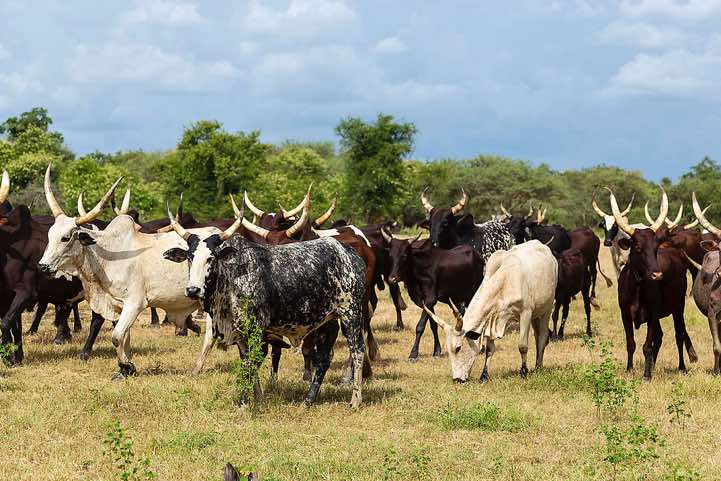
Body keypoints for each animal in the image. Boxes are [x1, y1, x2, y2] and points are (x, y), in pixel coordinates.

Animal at [39, 165, 227, 379]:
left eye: (66, 237)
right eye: (49, 235)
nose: (42, 266)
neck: (105, 256)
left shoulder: (134, 303)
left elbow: (116, 336)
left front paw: (127, 366)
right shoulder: (118, 305)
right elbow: (124, 337)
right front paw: (124, 369)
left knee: (211, 333)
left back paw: (197, 368)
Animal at [162, 206, 368, 408]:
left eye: (211, 258)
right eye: (190, 257)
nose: (193, 290)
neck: (231, 276)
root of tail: (349, 253)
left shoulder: (256, 329)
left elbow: (251, 364)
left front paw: (243, 402)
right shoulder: (240, 334)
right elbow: (248, 362)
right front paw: (258, 399)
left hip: (351, 314)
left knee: (357, 349)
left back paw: (355, 400)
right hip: (328, 321)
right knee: (325, 358)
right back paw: (309, 400)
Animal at [383, 229, 484, 360]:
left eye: (404, 256)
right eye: (390, 255)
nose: (392, 279)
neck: (419, 268)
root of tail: (477, 255)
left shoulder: (430, 299)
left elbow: (420, 326)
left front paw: (413, 354)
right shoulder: (426, 302)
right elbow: (433, 325)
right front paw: (437, 351)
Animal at [423, 240, 557, 382]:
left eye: (458, 348)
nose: (456, 379)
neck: (505, 281)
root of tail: (545, 248)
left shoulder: (525, 313)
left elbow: (522, 346)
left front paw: (523, 372)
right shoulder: (491, 320)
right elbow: (489, 349)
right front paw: (484, 375)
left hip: (547, 308)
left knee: (542, 337)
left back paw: (538, 367)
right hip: (536, 315)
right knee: (537, 336)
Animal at [607, 188, 697, 379]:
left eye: (655, 248)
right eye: (638, 248)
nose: (657, 274)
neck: (636, 288)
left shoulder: (653, 314)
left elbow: (647, 345)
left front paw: (647, 375)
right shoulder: (624, 314)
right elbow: (631, 343)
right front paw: (630, 369)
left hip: (678, 307)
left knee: (678, 335)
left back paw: (681, 367)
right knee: (661, 335)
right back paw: (654, 364)